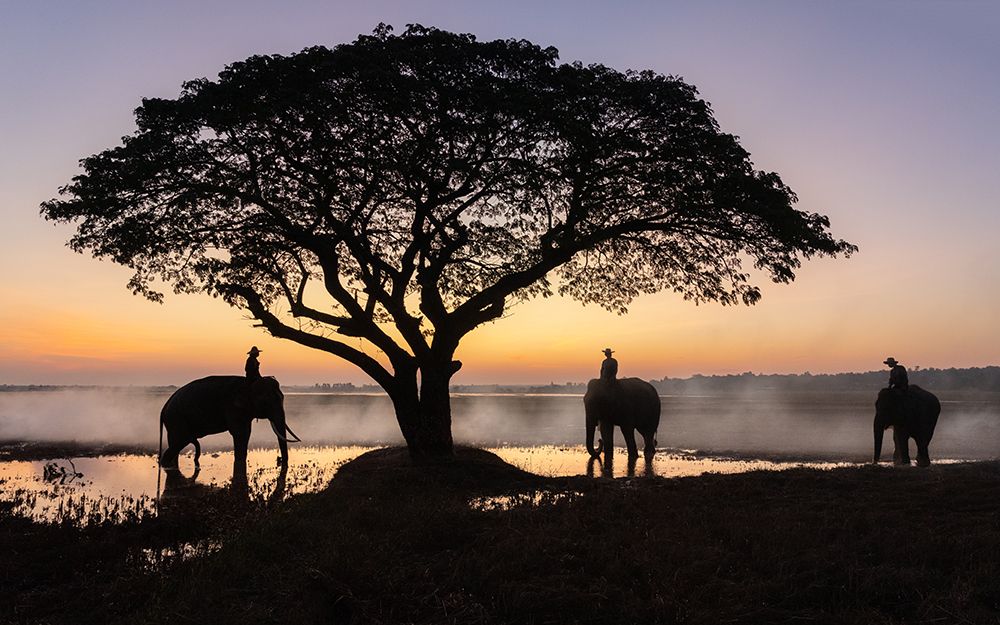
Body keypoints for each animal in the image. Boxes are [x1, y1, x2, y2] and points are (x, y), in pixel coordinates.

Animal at [159, 376, 300, 472]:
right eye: (266, 402)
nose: (279, 460)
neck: (249, 384)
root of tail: (164, 408)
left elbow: (245, 433)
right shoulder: (233, 408)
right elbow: (241, 433)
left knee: (176, 445)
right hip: (177, 420)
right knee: (178, 443)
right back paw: (167, 466)